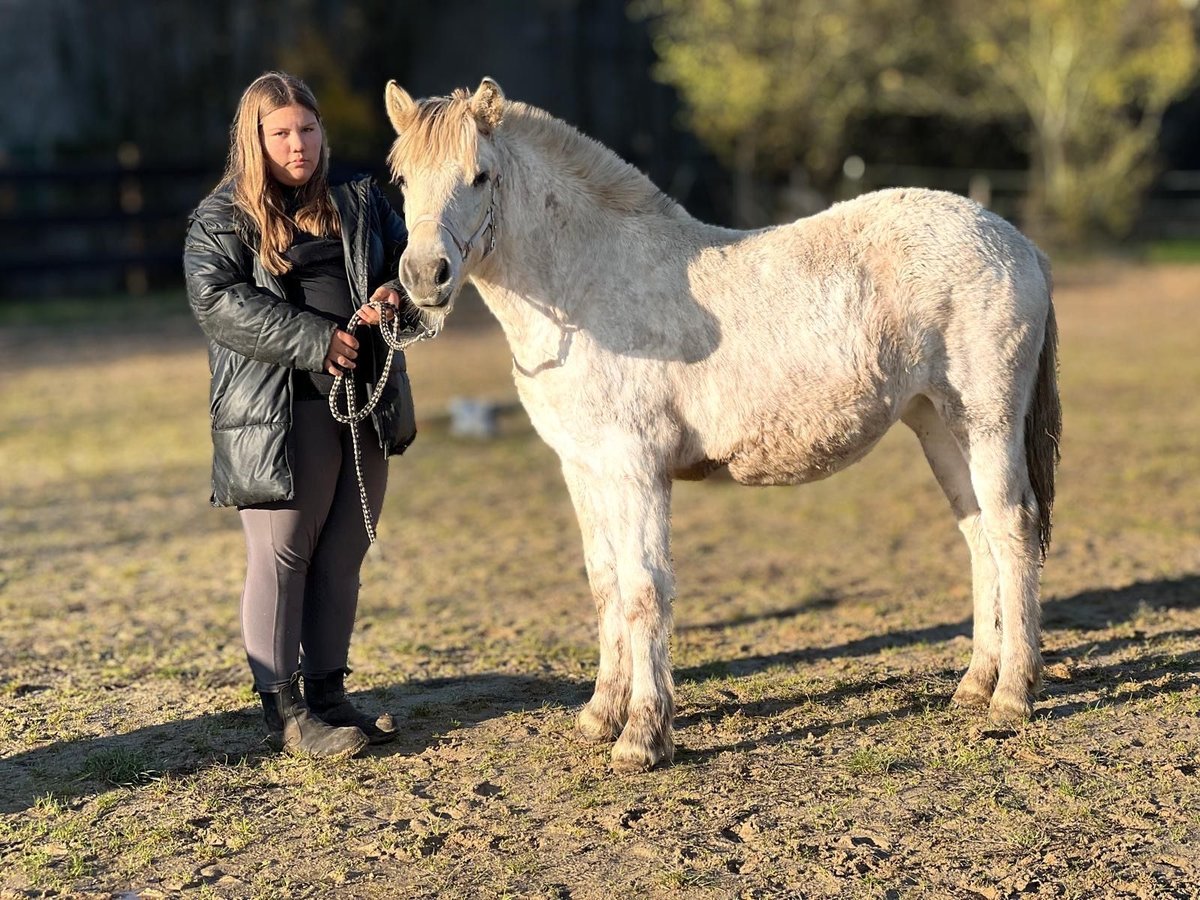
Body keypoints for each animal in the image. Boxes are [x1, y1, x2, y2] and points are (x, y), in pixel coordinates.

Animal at [383, 77, 1061, 773]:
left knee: (1012, 529)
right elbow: (605, 585)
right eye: (401, 178)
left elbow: (644, 589)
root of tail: (1016, 243)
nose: (424, 277)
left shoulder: (635, 469)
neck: (589, 287)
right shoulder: (583, 468)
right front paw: (601, 716)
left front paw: (643, 737)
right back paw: (975, 684)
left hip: (985, 420)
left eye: (480, 175)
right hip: (938, 425)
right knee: (979, 536)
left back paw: (1012, 694)